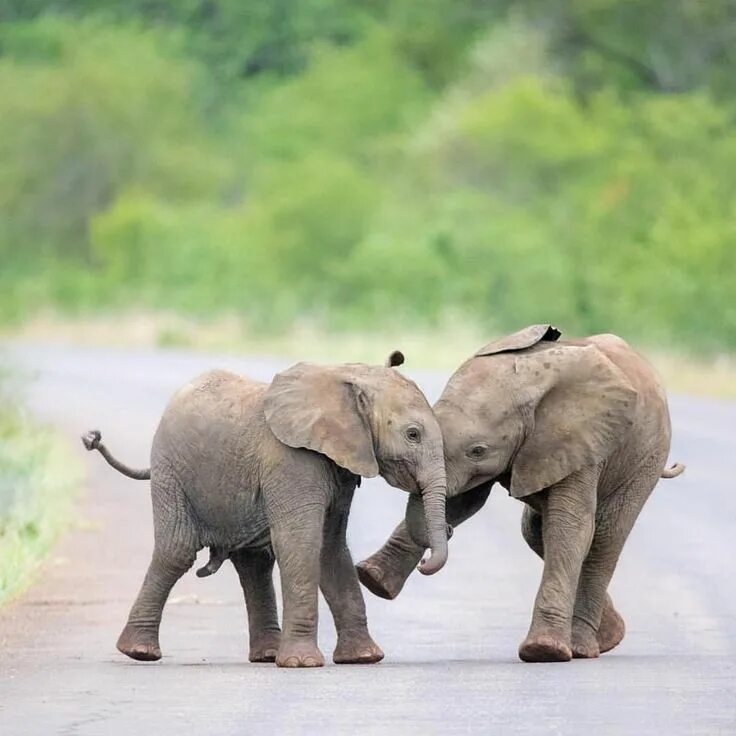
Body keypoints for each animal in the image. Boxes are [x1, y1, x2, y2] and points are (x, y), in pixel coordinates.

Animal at [82, 356, 448, 668]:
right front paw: (302, 664)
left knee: (254, 564)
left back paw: (267, 656)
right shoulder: (293, 461)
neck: (343, 377)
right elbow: (301, 544)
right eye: (413, 434)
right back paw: (139, 652)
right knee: (176, 553)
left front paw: (363, 659)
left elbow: (330, 549)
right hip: (171, 473)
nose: (425, 564)